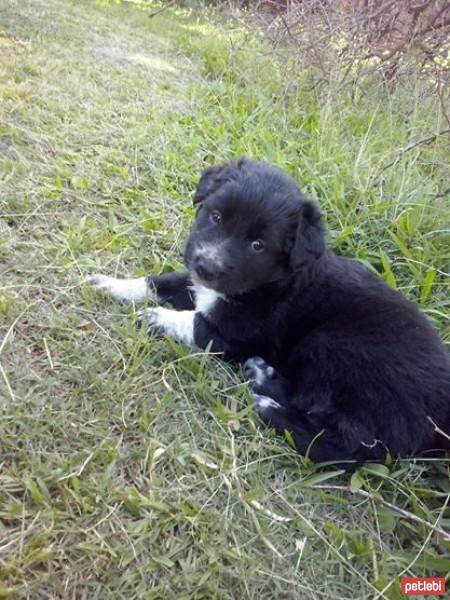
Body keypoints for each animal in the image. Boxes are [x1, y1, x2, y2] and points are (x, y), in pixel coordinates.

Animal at [88, 157, 450, 462]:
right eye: (216, 217)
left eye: (257, 246)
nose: (205, 266)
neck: (270, 283)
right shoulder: (197, 286)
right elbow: (159, 281)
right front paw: (112, 284)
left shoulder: (239, 336)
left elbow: (194, 324)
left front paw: (156, 318)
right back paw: (263, 377)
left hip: (336, 347)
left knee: (349, 446)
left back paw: (267, 406)